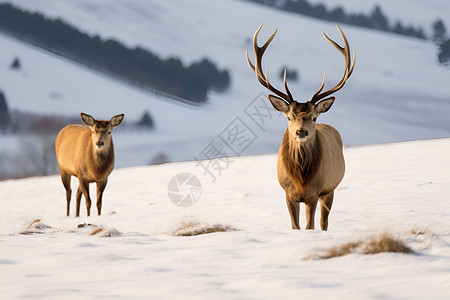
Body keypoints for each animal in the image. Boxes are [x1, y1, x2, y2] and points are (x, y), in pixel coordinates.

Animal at [246, 24, 356, 230]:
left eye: (313, 117)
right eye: (289, 117)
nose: (301, 131)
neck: (301, 180)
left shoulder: (314, 192)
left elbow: (309, 226)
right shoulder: (288, 193)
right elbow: (295, 226)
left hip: (330, 189)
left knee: (324, 222)